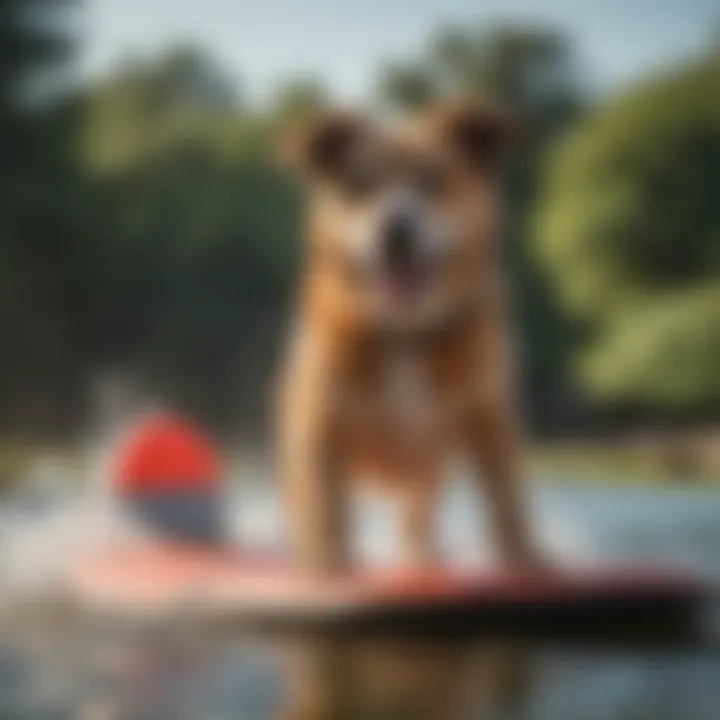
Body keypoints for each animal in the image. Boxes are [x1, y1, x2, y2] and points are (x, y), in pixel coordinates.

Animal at [276, 100, 536, 572]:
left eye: (434, 179)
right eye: (360, 186)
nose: (396, 229)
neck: (404, 332)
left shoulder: (489, 415)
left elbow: (507, 502)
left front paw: (528, 563)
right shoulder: (322, 424)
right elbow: (326, 515)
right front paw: (330, 569)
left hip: (426, 481)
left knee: (419, 519)